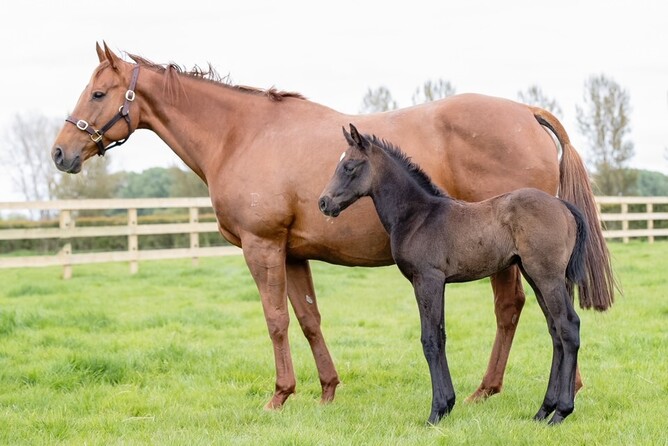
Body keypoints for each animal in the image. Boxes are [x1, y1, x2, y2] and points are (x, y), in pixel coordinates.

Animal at [319, 124, 587, 425]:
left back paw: (561, 412)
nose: (323, 202)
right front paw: (448, 405)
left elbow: (430, 340)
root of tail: (564, 207)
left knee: (568, 326)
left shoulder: (427, 280)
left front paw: (436, 411)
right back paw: (543, 410)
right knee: (555, 331)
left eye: (349, 166)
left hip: (547, 277)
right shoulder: (440, 284)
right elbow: (442, 336)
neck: (418, 216)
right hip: (535, 276)